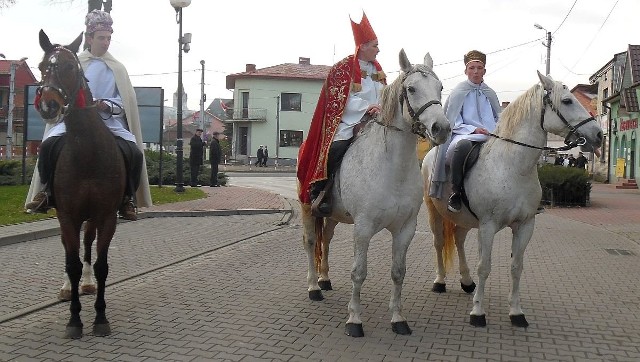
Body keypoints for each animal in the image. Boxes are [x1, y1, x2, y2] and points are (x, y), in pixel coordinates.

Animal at [36, 29, 126, 338]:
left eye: (69, 67)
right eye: (41, 67)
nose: (48, 105)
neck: (88, 152)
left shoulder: (106, 215)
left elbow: (101, 266)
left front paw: (100, 317)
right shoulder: (67, 215)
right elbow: (72, 263)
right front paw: (74, 320)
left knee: (87, 245)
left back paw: (87, 285)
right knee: (69, 251)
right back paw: (68, 288)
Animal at [300, 48, 450, 336]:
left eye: (440, 87)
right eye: (411, 88)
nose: (442, 129)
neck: (392, 169)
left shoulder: (405, 229)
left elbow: (398, 272)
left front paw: (398, 319)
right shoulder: (363, 227)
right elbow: (358, 272)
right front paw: (354, 320)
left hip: (333, 215)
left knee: (326, 240)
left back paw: (324, 279)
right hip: (307, 208)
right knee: (311, 242)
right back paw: (313, 287)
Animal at [422, 71, 604, 328]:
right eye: (567, 101)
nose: (598, 135)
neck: (513, 167)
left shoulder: (525, 225)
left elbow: (516, 267)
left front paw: (516, 312)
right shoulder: (488, 226)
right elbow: (484, 266)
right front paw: (478, 313)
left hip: (465, 219)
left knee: (458, 241)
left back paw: (466, 282)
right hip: (434, 211)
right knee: (439, 243)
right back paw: (439, 282)